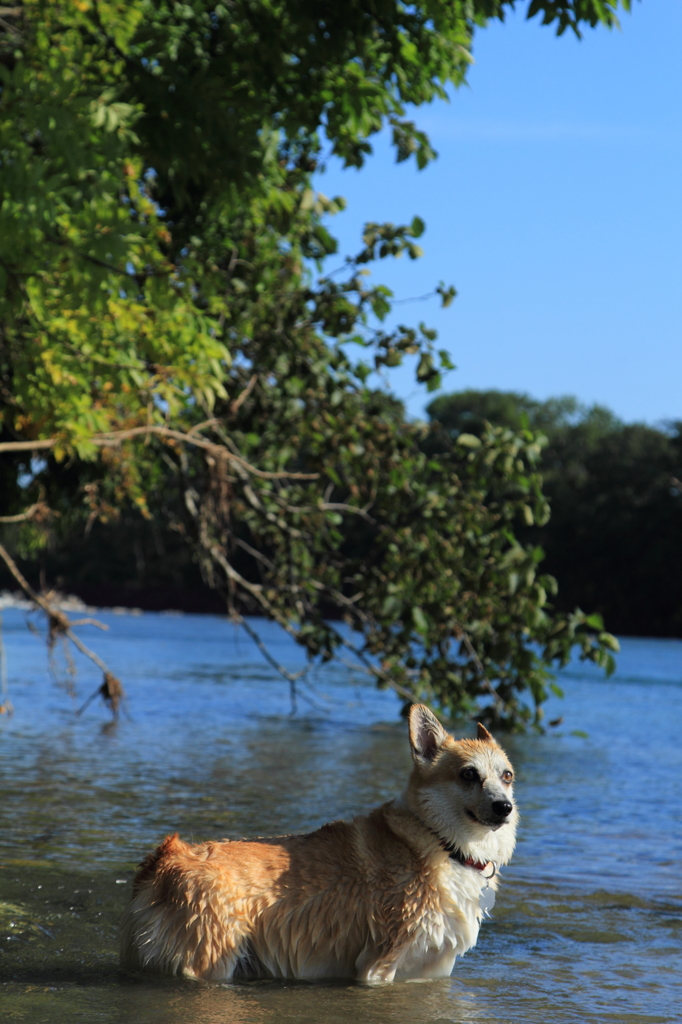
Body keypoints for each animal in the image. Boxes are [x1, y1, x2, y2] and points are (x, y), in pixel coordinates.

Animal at [120, 704, 516, 983]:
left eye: (507, 776)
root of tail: (165, 859)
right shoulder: (379, 964)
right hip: (209, 962)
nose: (505, 808)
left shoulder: (429, 969)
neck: (442, 842)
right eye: (468, 775)